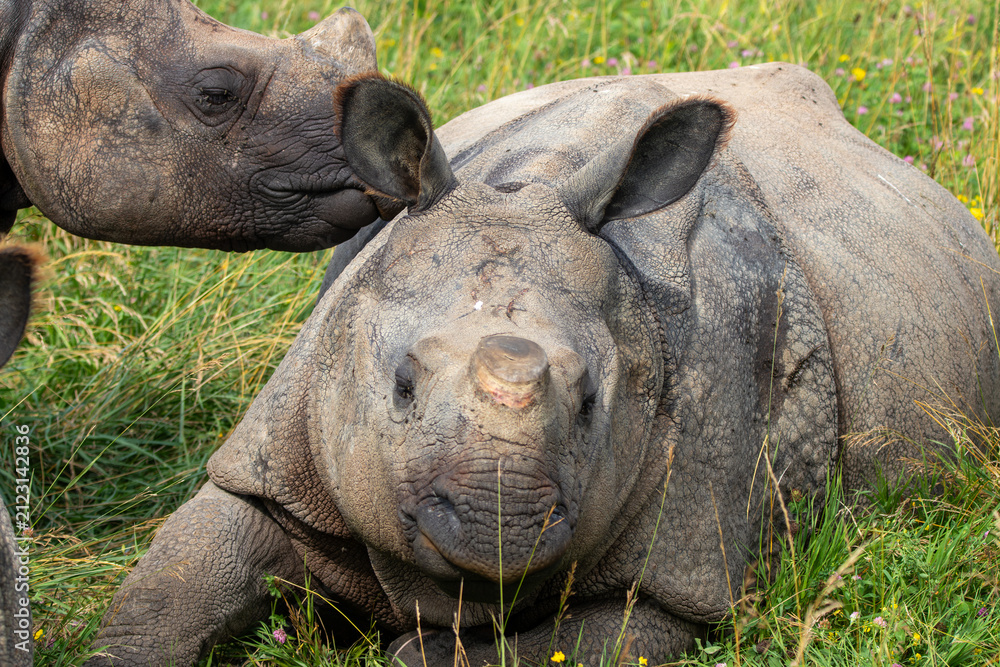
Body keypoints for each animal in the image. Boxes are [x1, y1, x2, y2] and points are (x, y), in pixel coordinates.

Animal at [88, 65, 1000, 666]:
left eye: (596, 400)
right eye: (402, 384)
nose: (501, 522)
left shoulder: (686, 564)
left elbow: (553, 644)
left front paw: (416, 642)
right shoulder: (280, 448)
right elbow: (175, 581)